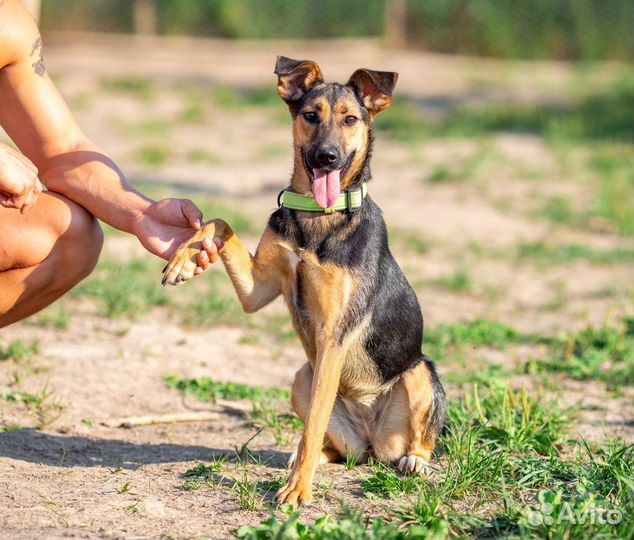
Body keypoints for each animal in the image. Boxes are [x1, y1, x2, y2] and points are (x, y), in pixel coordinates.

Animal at [164, 56, 450, 506]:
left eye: (351, 119)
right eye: (310, 116)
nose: (327, 157)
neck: (317, 215)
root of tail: (373, 441)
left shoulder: (333, 335)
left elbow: (314, 422)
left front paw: (298, 491)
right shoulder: (261, 287)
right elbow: (220, 222)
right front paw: (186, 258)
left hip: (419, 372)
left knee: (418, 437)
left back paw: (413, 461)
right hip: (302, 376)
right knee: (336, 449)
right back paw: (312, 457)